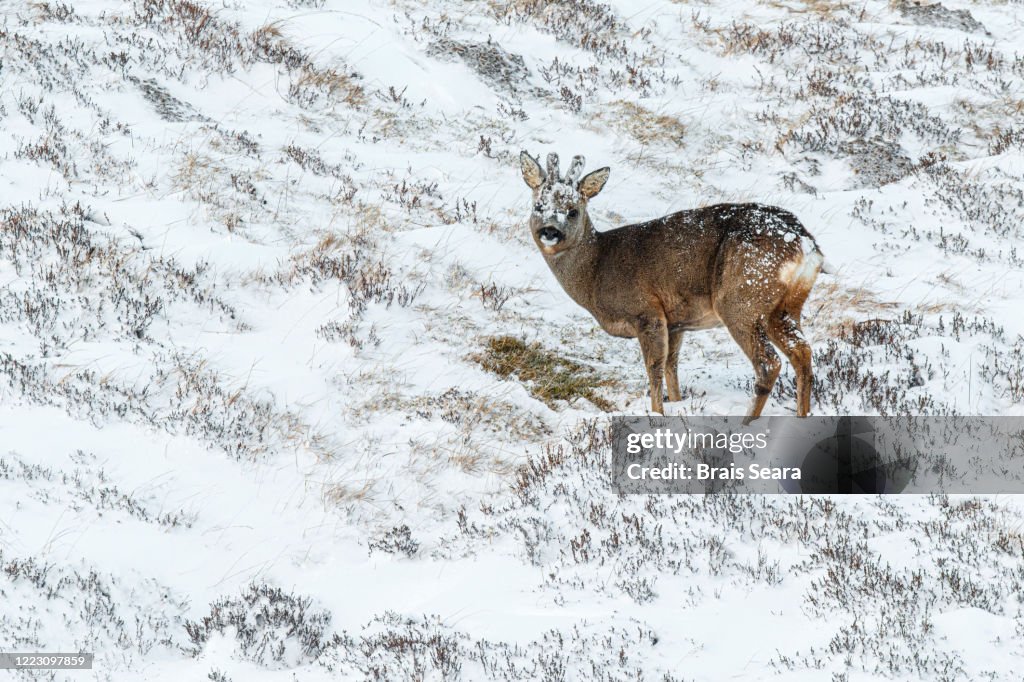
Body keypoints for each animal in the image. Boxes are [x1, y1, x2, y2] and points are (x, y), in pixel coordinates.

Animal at [519, 151, 829, 422]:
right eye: (538, 206)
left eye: (572, 211)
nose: (550, 231)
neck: (597, 270)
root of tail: (805, 243)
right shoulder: (676, 322)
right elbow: (672, 367)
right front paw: (679, 404)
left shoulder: (647, 311)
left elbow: (654, 368)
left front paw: (657, 413)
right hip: (785, 306)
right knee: (802, 353)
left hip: (741, 298)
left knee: (769, 363)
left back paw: (746, 424)